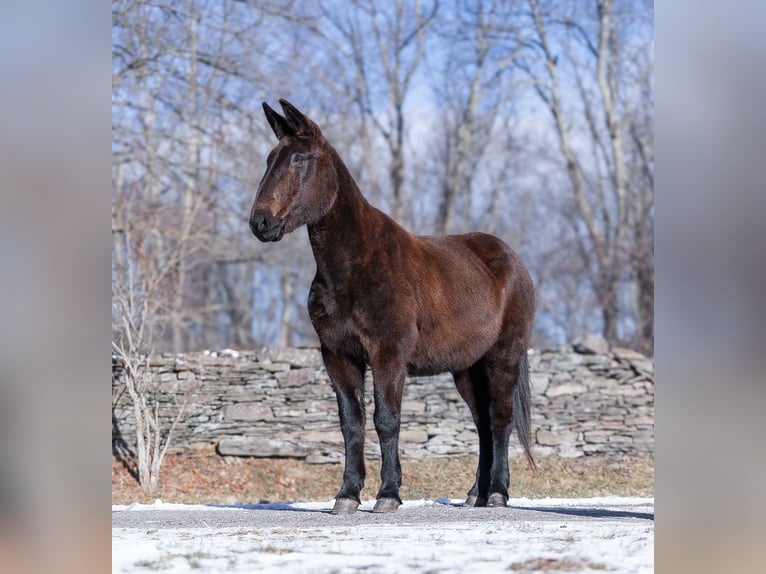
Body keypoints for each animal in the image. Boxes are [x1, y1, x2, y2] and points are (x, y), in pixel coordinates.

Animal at [250, 99, 536, 514]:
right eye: (270, 159)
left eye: (299, 159)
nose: (261, 223)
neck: (356, 265)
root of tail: (513, 261)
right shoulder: (338, 356)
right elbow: (351, 424)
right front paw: (347, 495)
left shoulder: (388, 354)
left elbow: (386, 419)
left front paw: (388, 494)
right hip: (467, 368)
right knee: (482, 422)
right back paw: (475, 495)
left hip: (504, 356)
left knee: (499, 418)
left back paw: (497, 493)